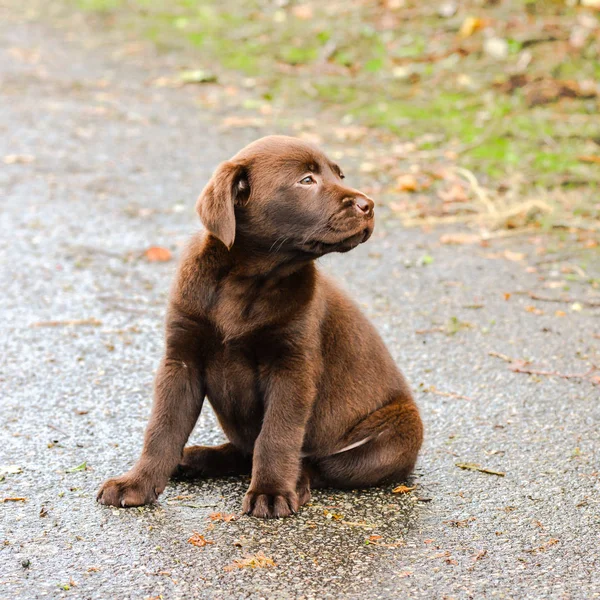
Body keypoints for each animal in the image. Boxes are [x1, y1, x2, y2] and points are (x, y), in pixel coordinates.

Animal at [97, 135, 422, 516]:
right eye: (306, 180)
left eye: (339, 175)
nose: (368, 205)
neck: (246, 281)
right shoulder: (181, 360)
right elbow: (162, 428)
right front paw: (137, 483)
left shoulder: (291, 367)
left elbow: (277, 435)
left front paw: (271, 491)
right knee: (244, 451)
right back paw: (195, 458)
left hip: (396, 435)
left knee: (318, 464)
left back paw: (291, 480)